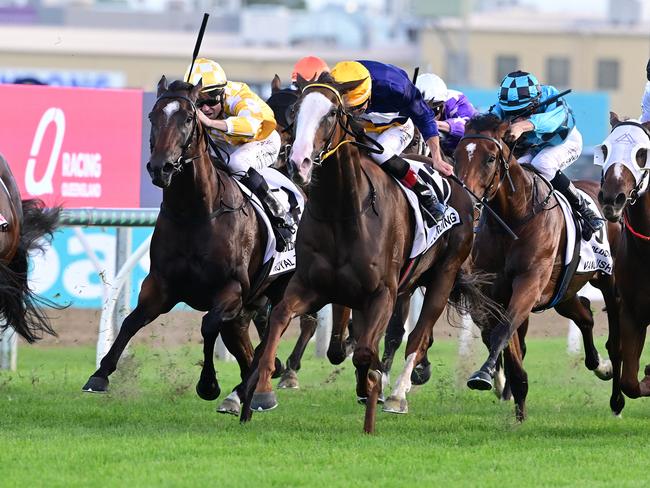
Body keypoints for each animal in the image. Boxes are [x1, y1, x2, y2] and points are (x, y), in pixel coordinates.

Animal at [82, 77, 290, 412]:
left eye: (189, 118)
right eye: (152, 116)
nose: (161, 167)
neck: (195, 213)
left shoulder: (231, 289)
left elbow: (208, 325)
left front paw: (208, 384)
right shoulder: (160, 285)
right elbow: (130, 322)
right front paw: (100, 375)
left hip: (280, 290)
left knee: (267, 335)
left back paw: (251, 392)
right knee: (244, 343)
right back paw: (243, 392)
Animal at [240, 74, 498, 432]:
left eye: (332, 113)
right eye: (295, 111)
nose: (297, 162)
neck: (343, 214)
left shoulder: (382, 293)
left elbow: (366, 351)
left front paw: (371, 386)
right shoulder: (311, 286)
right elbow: (280, 320)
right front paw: (264, 390)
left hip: (443, 276)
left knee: (417, 336)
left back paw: (398, 394)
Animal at [454, 113, 620, 420]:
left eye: (490, 159)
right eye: (457, 155)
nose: (467, 202)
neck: (514, 218)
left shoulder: (528, 283)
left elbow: (503, 331)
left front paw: (483, 375)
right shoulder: (497, 292)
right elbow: (507, 341)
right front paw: (517, 406)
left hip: (609, 282)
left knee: (616, 339)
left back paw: (617, 400)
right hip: (564, 291)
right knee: (585, 315)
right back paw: (600, 366)